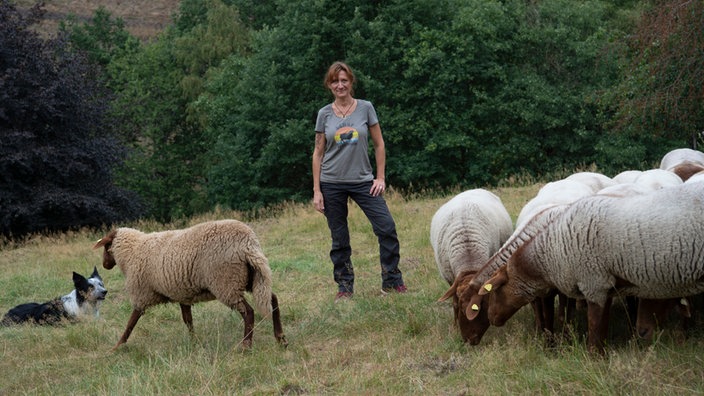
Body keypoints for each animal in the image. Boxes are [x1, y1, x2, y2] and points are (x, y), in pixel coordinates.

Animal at [93, 218, 286, 352]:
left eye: (106, 247)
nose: (105, 264)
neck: (132, 251)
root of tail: (248, 244)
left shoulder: (141, 295)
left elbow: (130, 323)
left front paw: (117, 347)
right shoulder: (182, 294)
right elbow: (188, 320)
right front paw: (195, 342)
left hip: (226, 282)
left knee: (249, 312)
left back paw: (246, 346)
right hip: (251, 277)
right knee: (273, 299)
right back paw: (280, 339)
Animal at [476, 183, 704, 352]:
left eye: (495, 291)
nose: (491, 318)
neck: (553, 251)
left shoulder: (595, 285)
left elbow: (595, 332)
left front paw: (596, 360)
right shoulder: (607, 287)